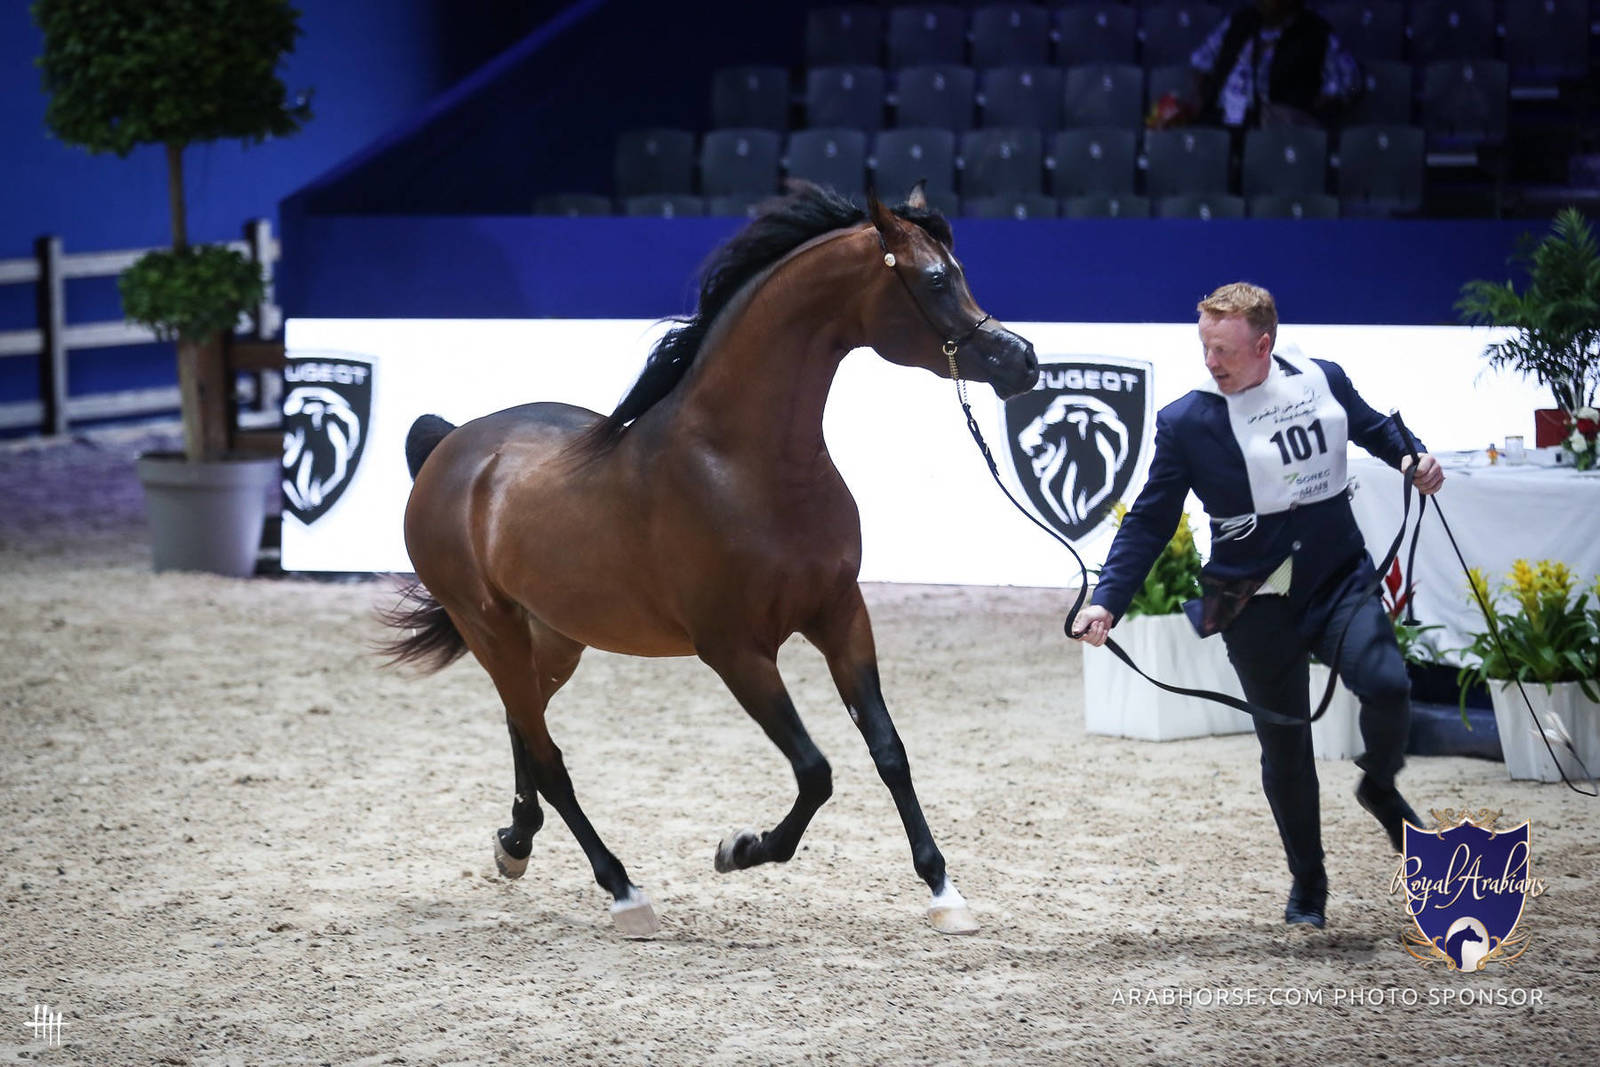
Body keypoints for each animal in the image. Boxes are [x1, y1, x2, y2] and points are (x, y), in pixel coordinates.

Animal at [383, 182, 1038, 937]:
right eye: (934, 279)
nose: (1022, 361)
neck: (745, 464)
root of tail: (452, 444)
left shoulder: (841, 615)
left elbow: (888, 750)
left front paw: (943, 889)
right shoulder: (735, 651)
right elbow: (816, 770)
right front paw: (741, 848)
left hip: (551, 638)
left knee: (525, 725)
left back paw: (515, 844)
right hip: (490, 629)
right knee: (548, 757)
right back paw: (624, 890)